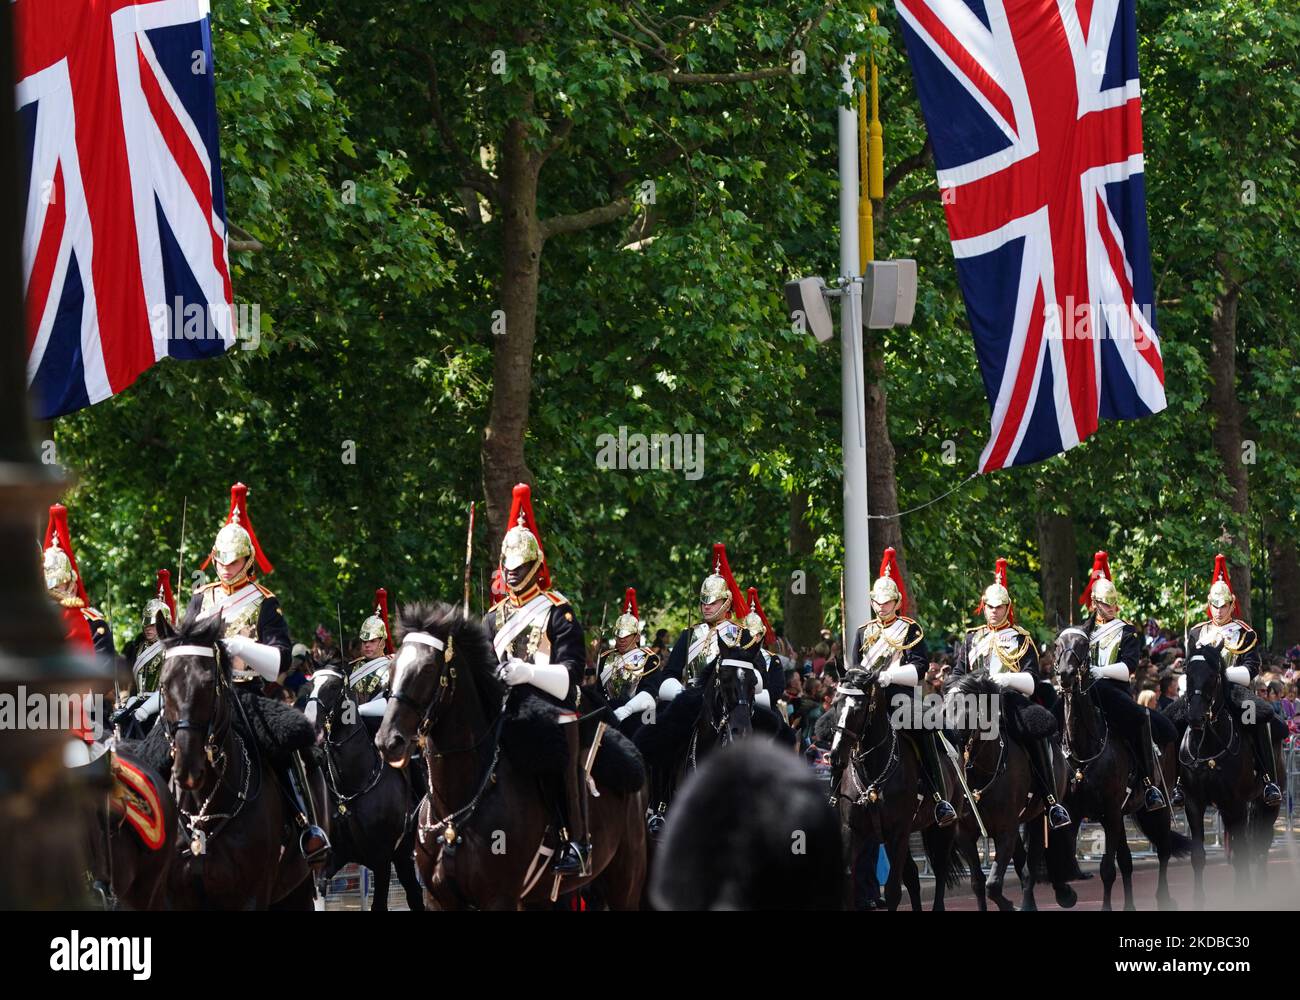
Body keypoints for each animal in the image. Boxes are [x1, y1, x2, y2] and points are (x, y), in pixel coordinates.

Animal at [1055, 629, 1190, 910]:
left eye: (1083, 645)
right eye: (1057, 644)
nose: (1066, 674)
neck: (1085, 749)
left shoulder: (1111, 812)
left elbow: (1107, 869)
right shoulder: (1075, 812)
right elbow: (1068, 861)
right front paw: (1065, 894)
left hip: (1155, 808)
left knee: (1163, 849)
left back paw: (1164, 898)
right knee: (1127, 861)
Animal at [1175, 644, 1284, 899]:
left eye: (1214, 676)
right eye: (1187, 673)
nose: (1195, 717)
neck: (1208, 744)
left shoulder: (1237, 803)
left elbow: (1244, 852)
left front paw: (1244, 896)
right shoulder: (1194, 802)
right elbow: (1198, 856)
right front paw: (1199, 900)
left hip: (1267, 805)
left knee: (1261, 847)